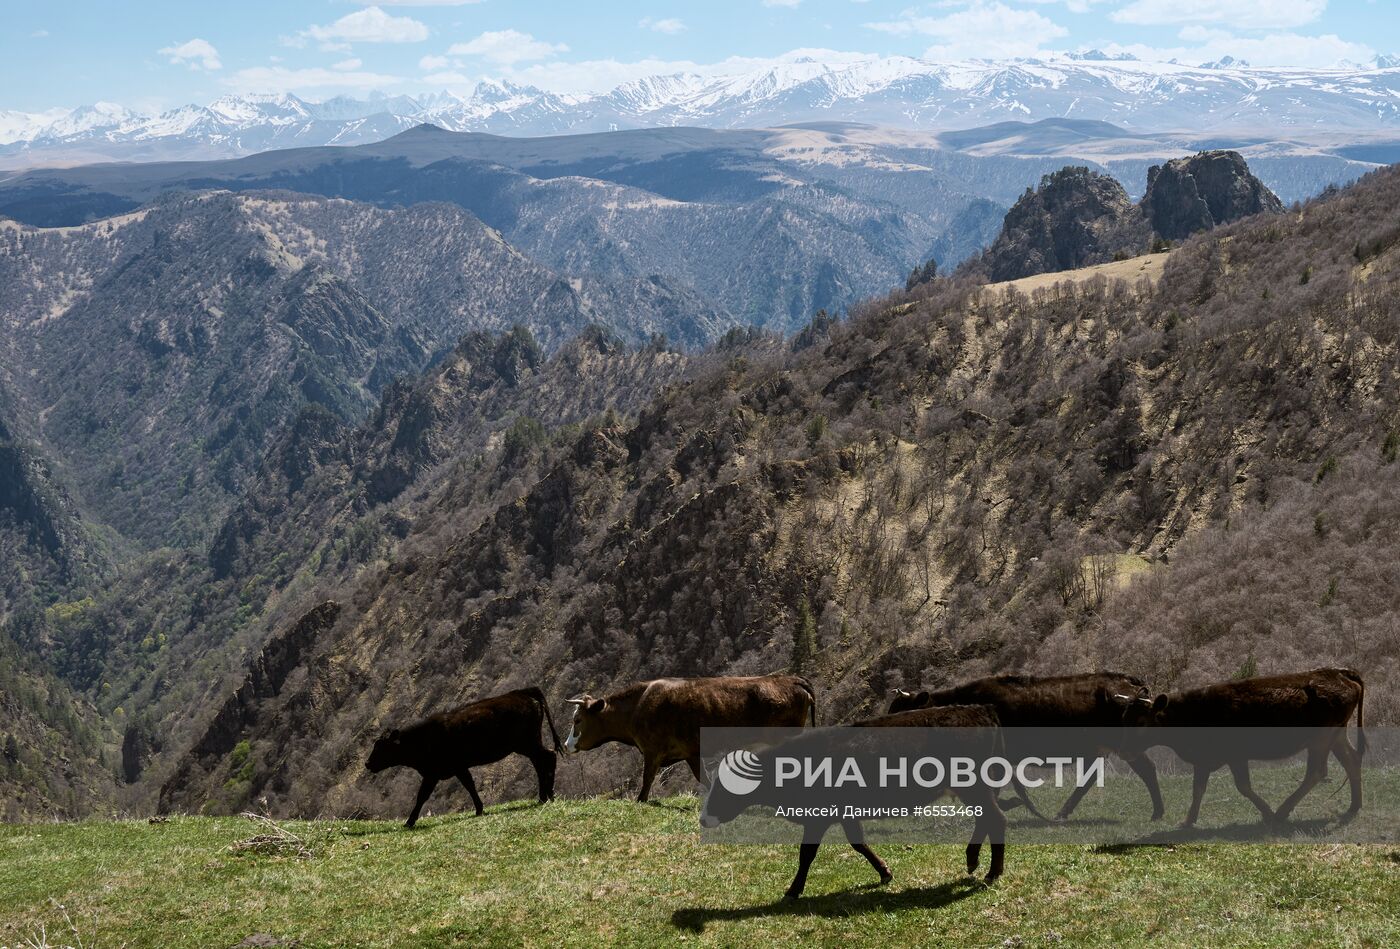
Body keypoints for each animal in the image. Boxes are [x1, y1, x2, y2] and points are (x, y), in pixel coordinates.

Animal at [369, 688, 560, 828]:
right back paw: (544, 797)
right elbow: (470, 786)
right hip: (529, 744)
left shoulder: (433, 773)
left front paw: (409, 822)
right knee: (541, 763)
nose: (367, 763)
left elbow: (422, 796)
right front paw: (479, 809)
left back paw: (549, 795)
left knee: (549, 757)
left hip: (527, 743)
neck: (425, 738)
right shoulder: (459, 768)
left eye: (381, 747)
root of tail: (524, 692)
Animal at [562, 677, 817, 800]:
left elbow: (646, 780)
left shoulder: (653, 752)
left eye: (578, 720)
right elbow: (704, 778)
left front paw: (640, 800)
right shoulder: (691, 753)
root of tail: (791, 679)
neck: (638, 706)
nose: (566, 745)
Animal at [890, 671, 1164, 823]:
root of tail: (1130, 681)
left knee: (1147, 770)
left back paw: (1157, 812)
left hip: (1125, 745)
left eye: (902, 712)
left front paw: (1007, 804)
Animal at [1114, 669, 1366, 823]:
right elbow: (1198, 789)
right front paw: (1188, 821)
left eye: (1141, 722)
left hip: (1320, 740)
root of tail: (1338, 672)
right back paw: (1354, 807)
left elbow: (1243, 786)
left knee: (1316, 772)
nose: (1123, 751)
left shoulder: (1235, 757)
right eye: (1124, 718)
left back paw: (1282, 812)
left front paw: (1267, 813)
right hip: (1336, 735)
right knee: (1351, 761)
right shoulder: (1203, 760)